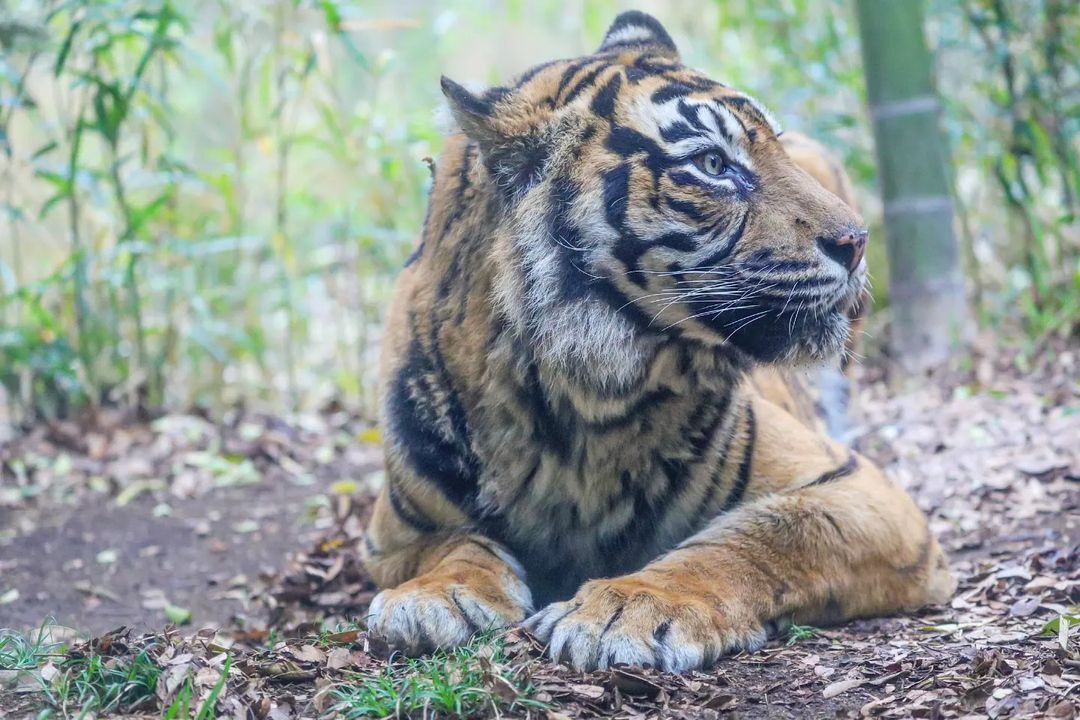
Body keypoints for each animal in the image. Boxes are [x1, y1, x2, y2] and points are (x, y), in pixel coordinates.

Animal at [362, 12, 954, 677]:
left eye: (770, 145)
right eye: (713, 164)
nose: (857, 240)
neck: (581, 402)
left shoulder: (860, 490)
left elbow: (759, 536)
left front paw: (630, 607)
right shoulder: (395, 530)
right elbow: (449, 543)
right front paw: (432, 597)